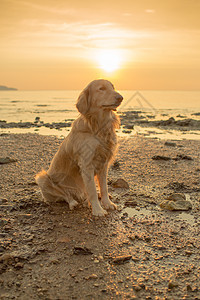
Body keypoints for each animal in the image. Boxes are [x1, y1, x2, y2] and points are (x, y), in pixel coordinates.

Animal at [36, 79, 123, 216]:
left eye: (112, 87)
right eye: (101, 89)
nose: (120, 97)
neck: (98, 127)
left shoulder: (104, 164)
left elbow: (104, 187)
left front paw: (107, 203)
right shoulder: (86, 165)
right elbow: (92, 191)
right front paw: (98, 210)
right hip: (43, 178)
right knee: (65, 195)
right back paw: (73, 203)